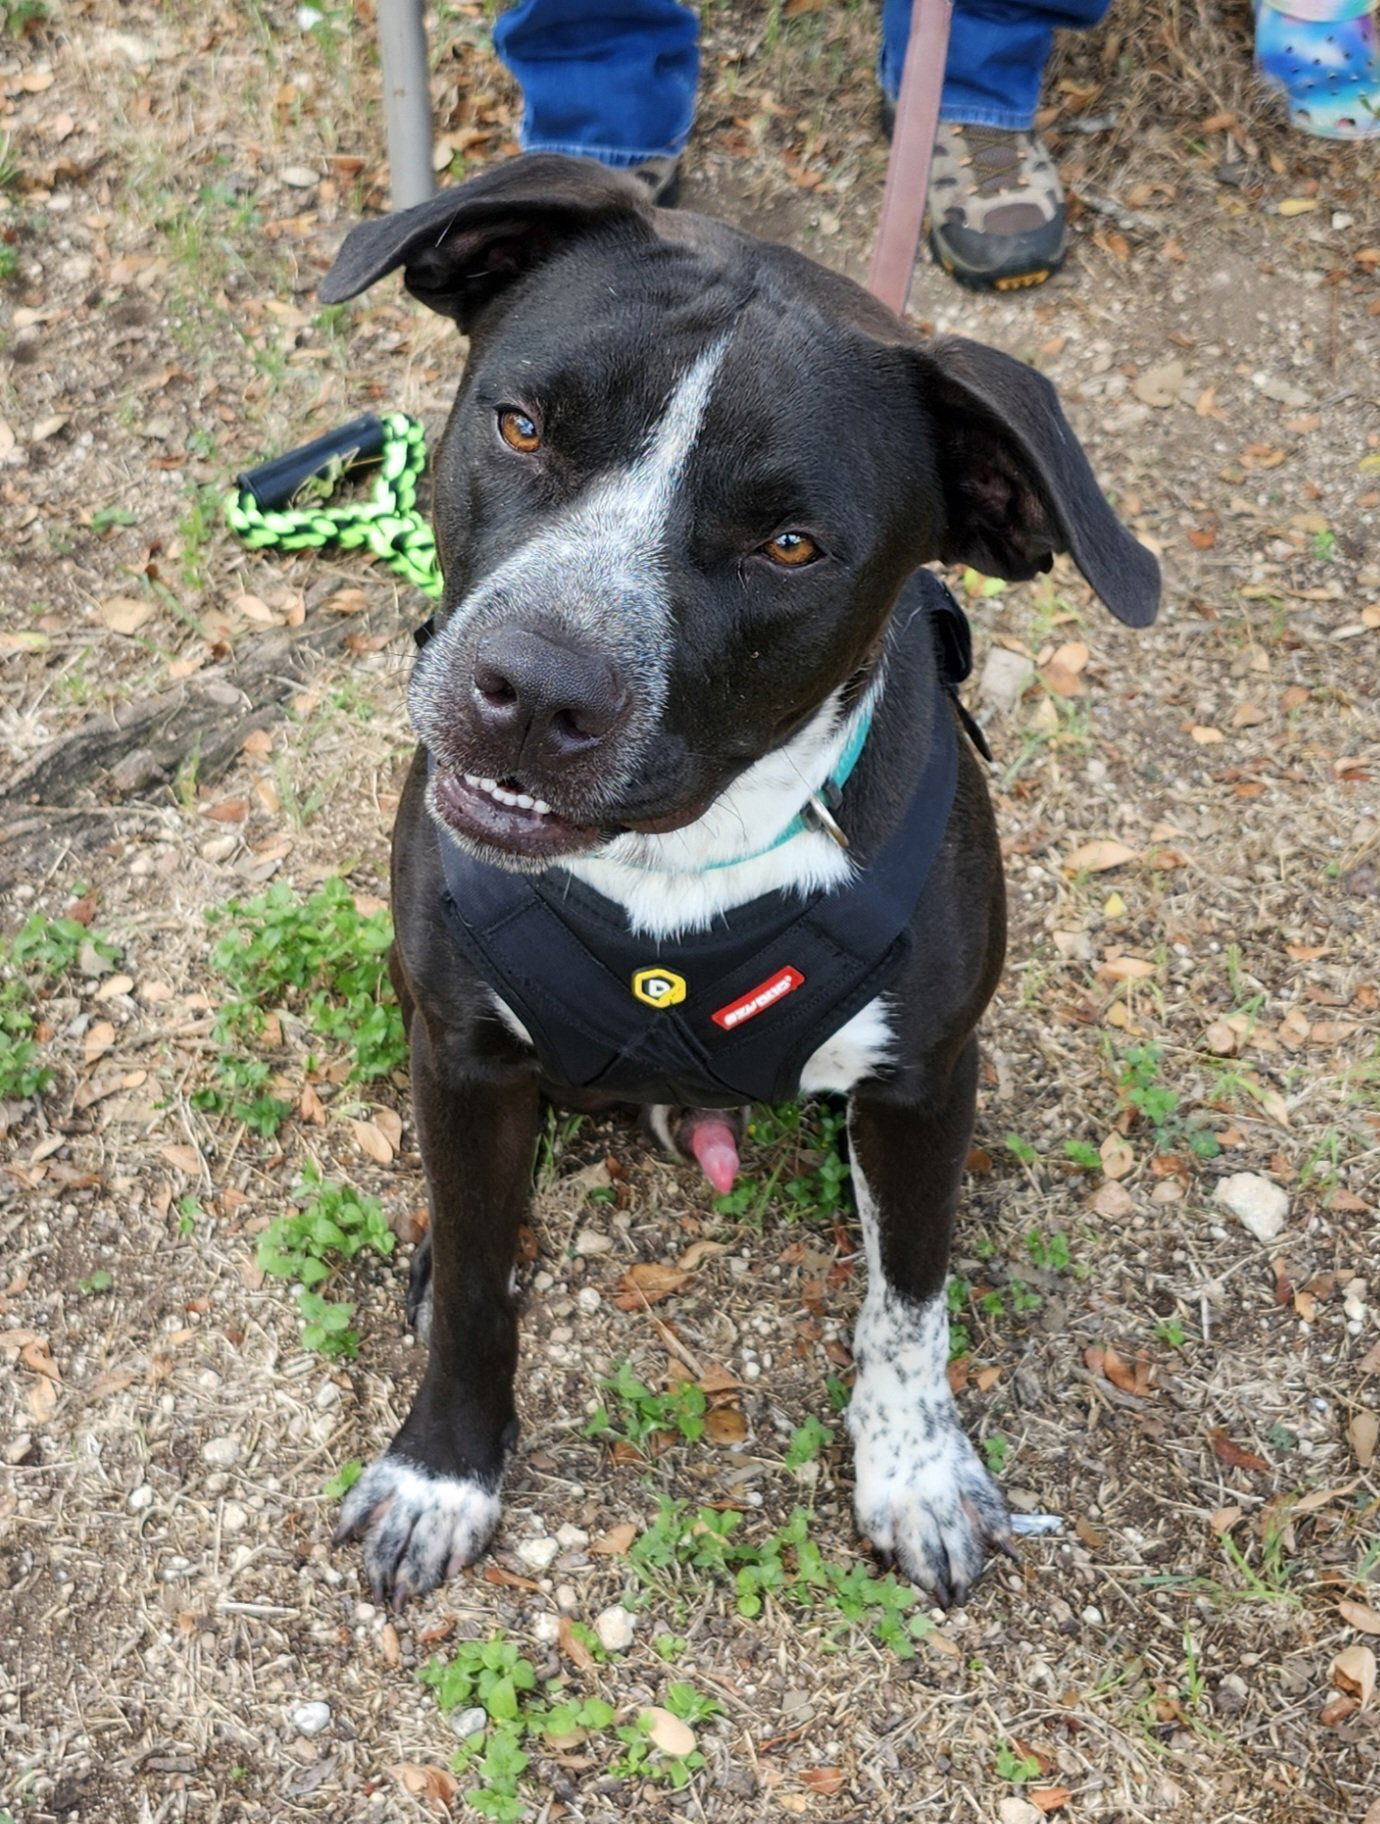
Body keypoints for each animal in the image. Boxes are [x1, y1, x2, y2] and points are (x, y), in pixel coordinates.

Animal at [317, 160, 1159, 1612]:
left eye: (790, 545)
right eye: (522, 424)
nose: (531, 688)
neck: (674, 860)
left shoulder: (924, 1079)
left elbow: (909, 1305)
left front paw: (917, 1475)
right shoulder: (465, 1050)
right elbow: (478, 1285)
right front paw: (443, 1471)